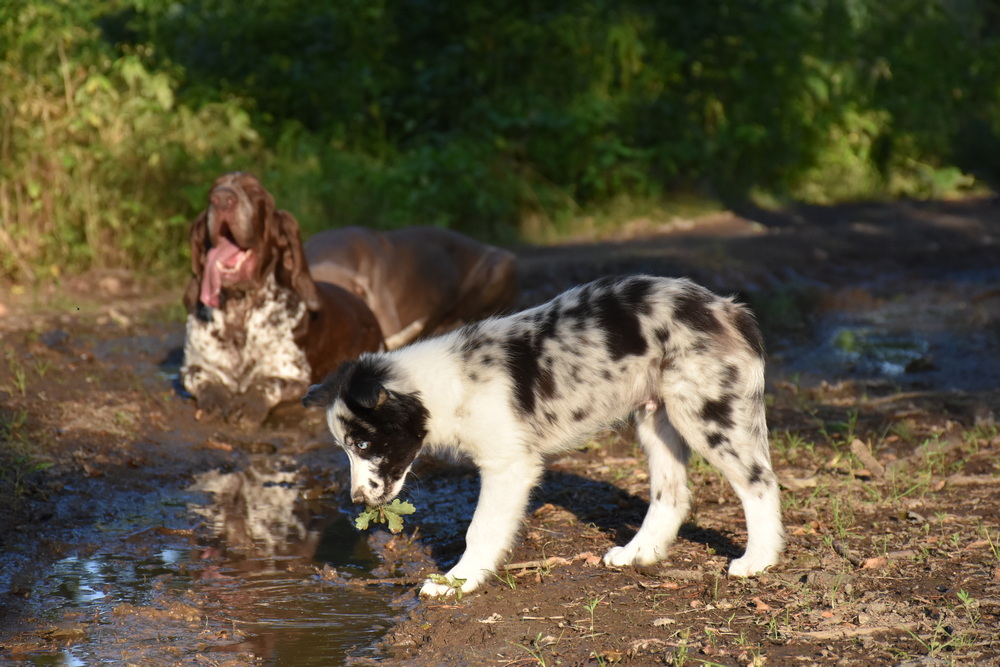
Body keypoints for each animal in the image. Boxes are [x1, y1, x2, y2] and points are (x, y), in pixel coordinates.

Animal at [180, 172, 382, 422]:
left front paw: (249, 405)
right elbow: (203, 379)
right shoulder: (192, 367)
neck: (239, 309)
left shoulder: (293, 376)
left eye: (255, 192)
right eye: (212, 191)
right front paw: (216, 400)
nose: (222, 199)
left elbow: (266, 383)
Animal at [300, 274, 784, 596]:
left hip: (704, 414)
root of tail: (727, 309)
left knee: (759, 481)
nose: (357, 501)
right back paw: (639, 552)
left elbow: (480, 529)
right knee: (672, 494)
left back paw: (759, 559)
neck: (445, 385)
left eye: (363, 444)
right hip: (656, 419)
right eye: (346, 450)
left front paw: (457, 580)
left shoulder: (507, 466)